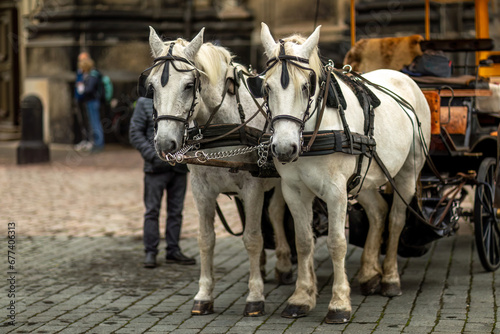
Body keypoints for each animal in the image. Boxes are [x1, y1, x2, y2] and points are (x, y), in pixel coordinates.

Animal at [145, 26, 292, 316]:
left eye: (189, 85)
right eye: (152, 86)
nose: (165, 143)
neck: (223, 125)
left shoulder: (253, 187)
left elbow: (253, 238)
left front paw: (255, 297)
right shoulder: (201, 189)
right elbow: (206, 240)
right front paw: (203, 295)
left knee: (276, 214)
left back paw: (283, 265)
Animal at [256, 23, 432, 324]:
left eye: (306, 86)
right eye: (266, 87)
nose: (285, 148)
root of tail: (402, 76)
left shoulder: (336, 192)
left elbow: (337, 243)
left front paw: (339, 304)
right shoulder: (294, 191)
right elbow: (303, 242)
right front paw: (301, 298)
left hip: (408, 172)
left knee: (396, 219)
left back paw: (390, 278)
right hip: (366, 178)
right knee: (378, 212)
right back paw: (370, 274)